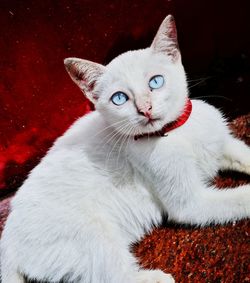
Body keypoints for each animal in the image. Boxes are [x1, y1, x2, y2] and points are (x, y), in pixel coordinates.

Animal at [0, 15, 250, 283]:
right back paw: (155, 278)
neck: (174, 133)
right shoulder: (191, 205)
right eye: (119, 98)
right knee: (111, 275)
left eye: (155, 82)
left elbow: (242, 153)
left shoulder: (222, 144)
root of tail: (7, 245)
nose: (145, 109)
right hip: (94, 234)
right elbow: (234, 199)